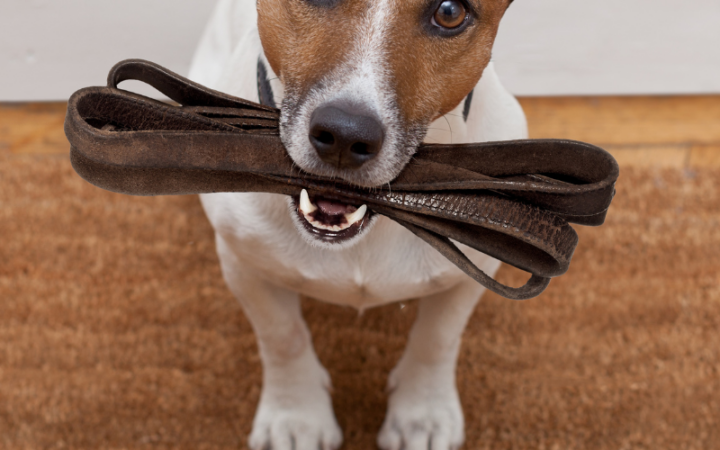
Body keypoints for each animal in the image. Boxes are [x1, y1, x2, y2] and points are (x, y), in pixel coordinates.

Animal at [188, 1, 524, 448]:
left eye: (450, 12)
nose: (345, 136)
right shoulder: (243, 262)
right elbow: (282, 336)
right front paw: (296, 418)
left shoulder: (473, 272)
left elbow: (437, 338)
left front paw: (422, 414)